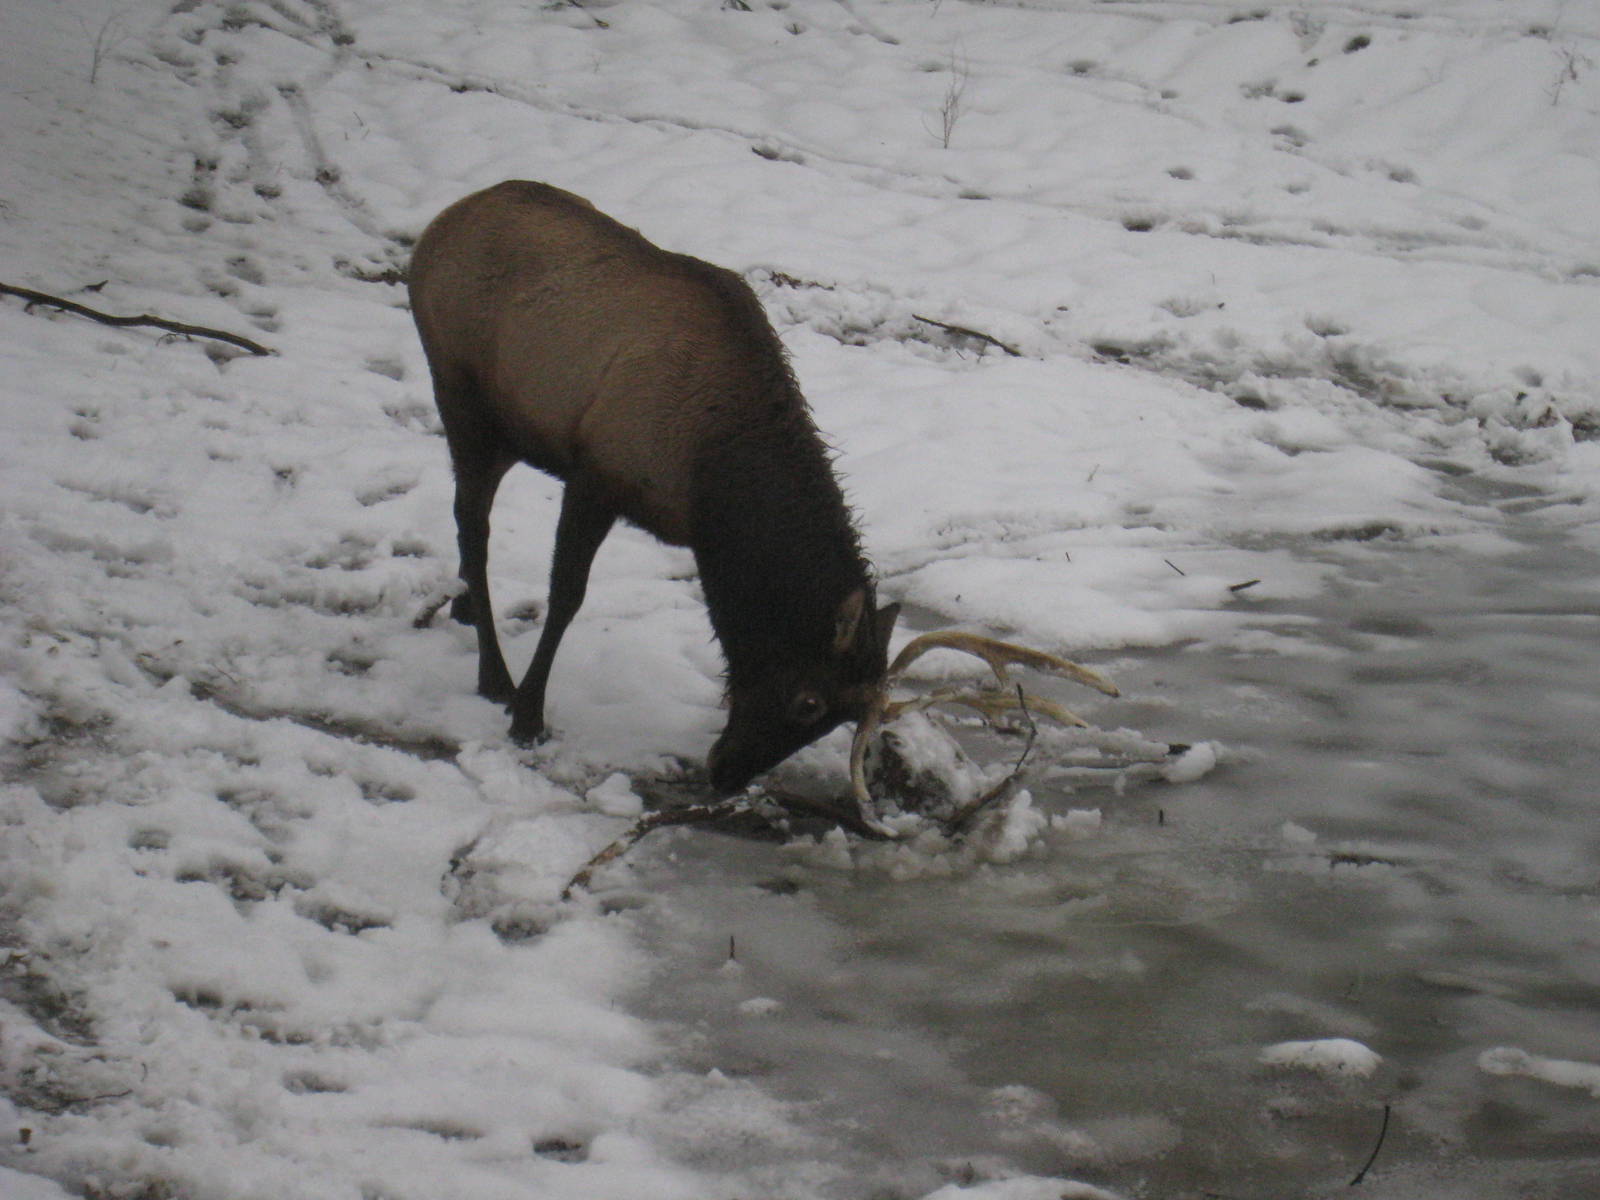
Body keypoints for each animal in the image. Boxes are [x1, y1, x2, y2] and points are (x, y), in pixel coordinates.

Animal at [408, 181, 901, 794]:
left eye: (841, 719)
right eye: (809, 702)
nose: (727, 775)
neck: (706, 485)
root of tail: (438, 227)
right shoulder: (596, 475)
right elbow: (565, 596)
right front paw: (528, 714)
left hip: (510, 430)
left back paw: (465, 610)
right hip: (461, 399)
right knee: (473, 528)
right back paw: (493, 674)